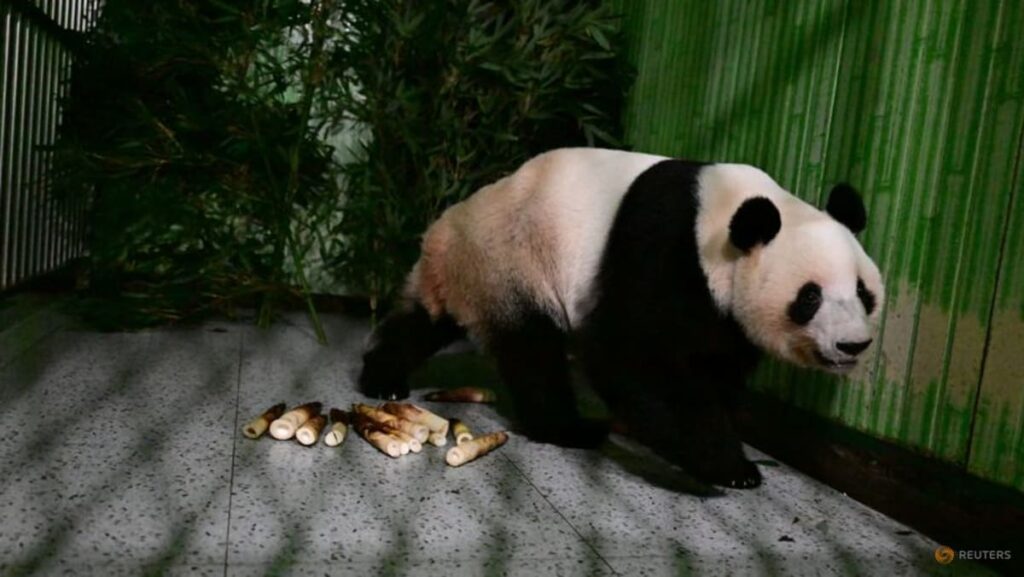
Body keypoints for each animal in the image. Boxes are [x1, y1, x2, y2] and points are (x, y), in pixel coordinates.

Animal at [359, 147, 884, 488]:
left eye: (864, 292)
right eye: (810, 297)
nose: (853, 345)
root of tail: (445, 229)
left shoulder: (724, 314)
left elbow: (716, 364)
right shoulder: (664, 245)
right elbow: (630, 353)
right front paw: (726, 464)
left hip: (471, 273)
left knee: (421, 323)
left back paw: (382, 378)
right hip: (512, 261)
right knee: (533, 351)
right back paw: (571, 428)